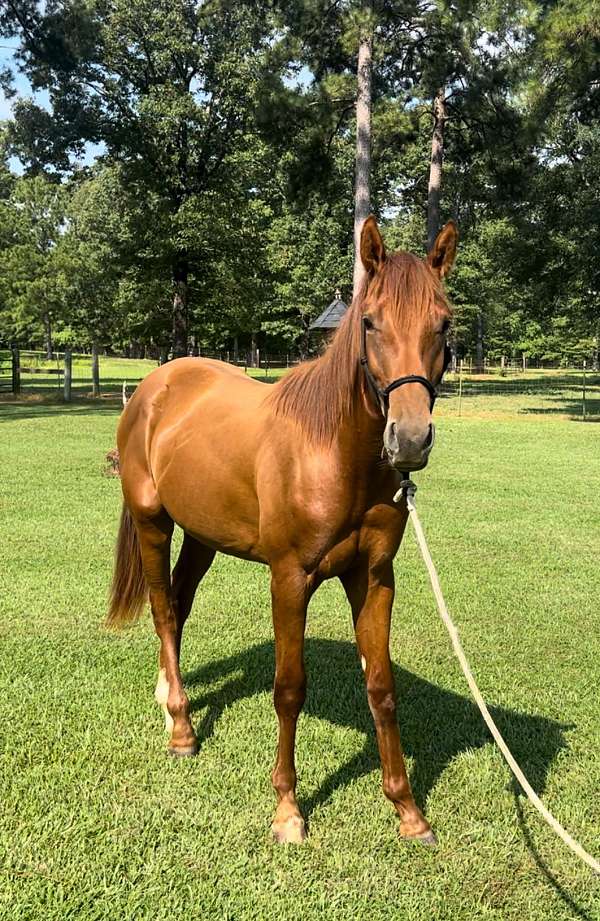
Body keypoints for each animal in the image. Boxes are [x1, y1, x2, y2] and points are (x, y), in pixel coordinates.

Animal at [107, 216, 458, 846]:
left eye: (443, 324)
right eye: (369, 322)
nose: (410, 439)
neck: (333, 452)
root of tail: (155, 385)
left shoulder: (374, 578)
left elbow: (382, 688)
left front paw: (408, 811)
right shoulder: (290, 579)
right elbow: (289, 688)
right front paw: (288, 811)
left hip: (201, 537)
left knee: (178, 603)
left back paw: (169, 697)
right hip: (152, 522)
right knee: (163, 610)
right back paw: (182, 730)